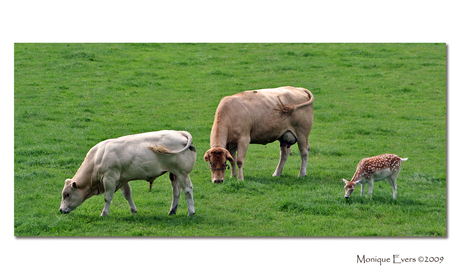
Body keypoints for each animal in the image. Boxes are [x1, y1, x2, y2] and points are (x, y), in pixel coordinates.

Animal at [59, 130, 196, 218]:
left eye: (67, 194)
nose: (61, 210)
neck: (98, 157)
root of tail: (180, 133)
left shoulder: (110, 178)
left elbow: (108, 197)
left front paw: (104, 213)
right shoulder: (122, 179)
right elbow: (127, 195)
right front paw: (133, 211)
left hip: (183, 173)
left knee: (188, 190)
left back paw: (191, 212)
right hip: (174, 174)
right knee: (176, 192)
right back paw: (172, 211)